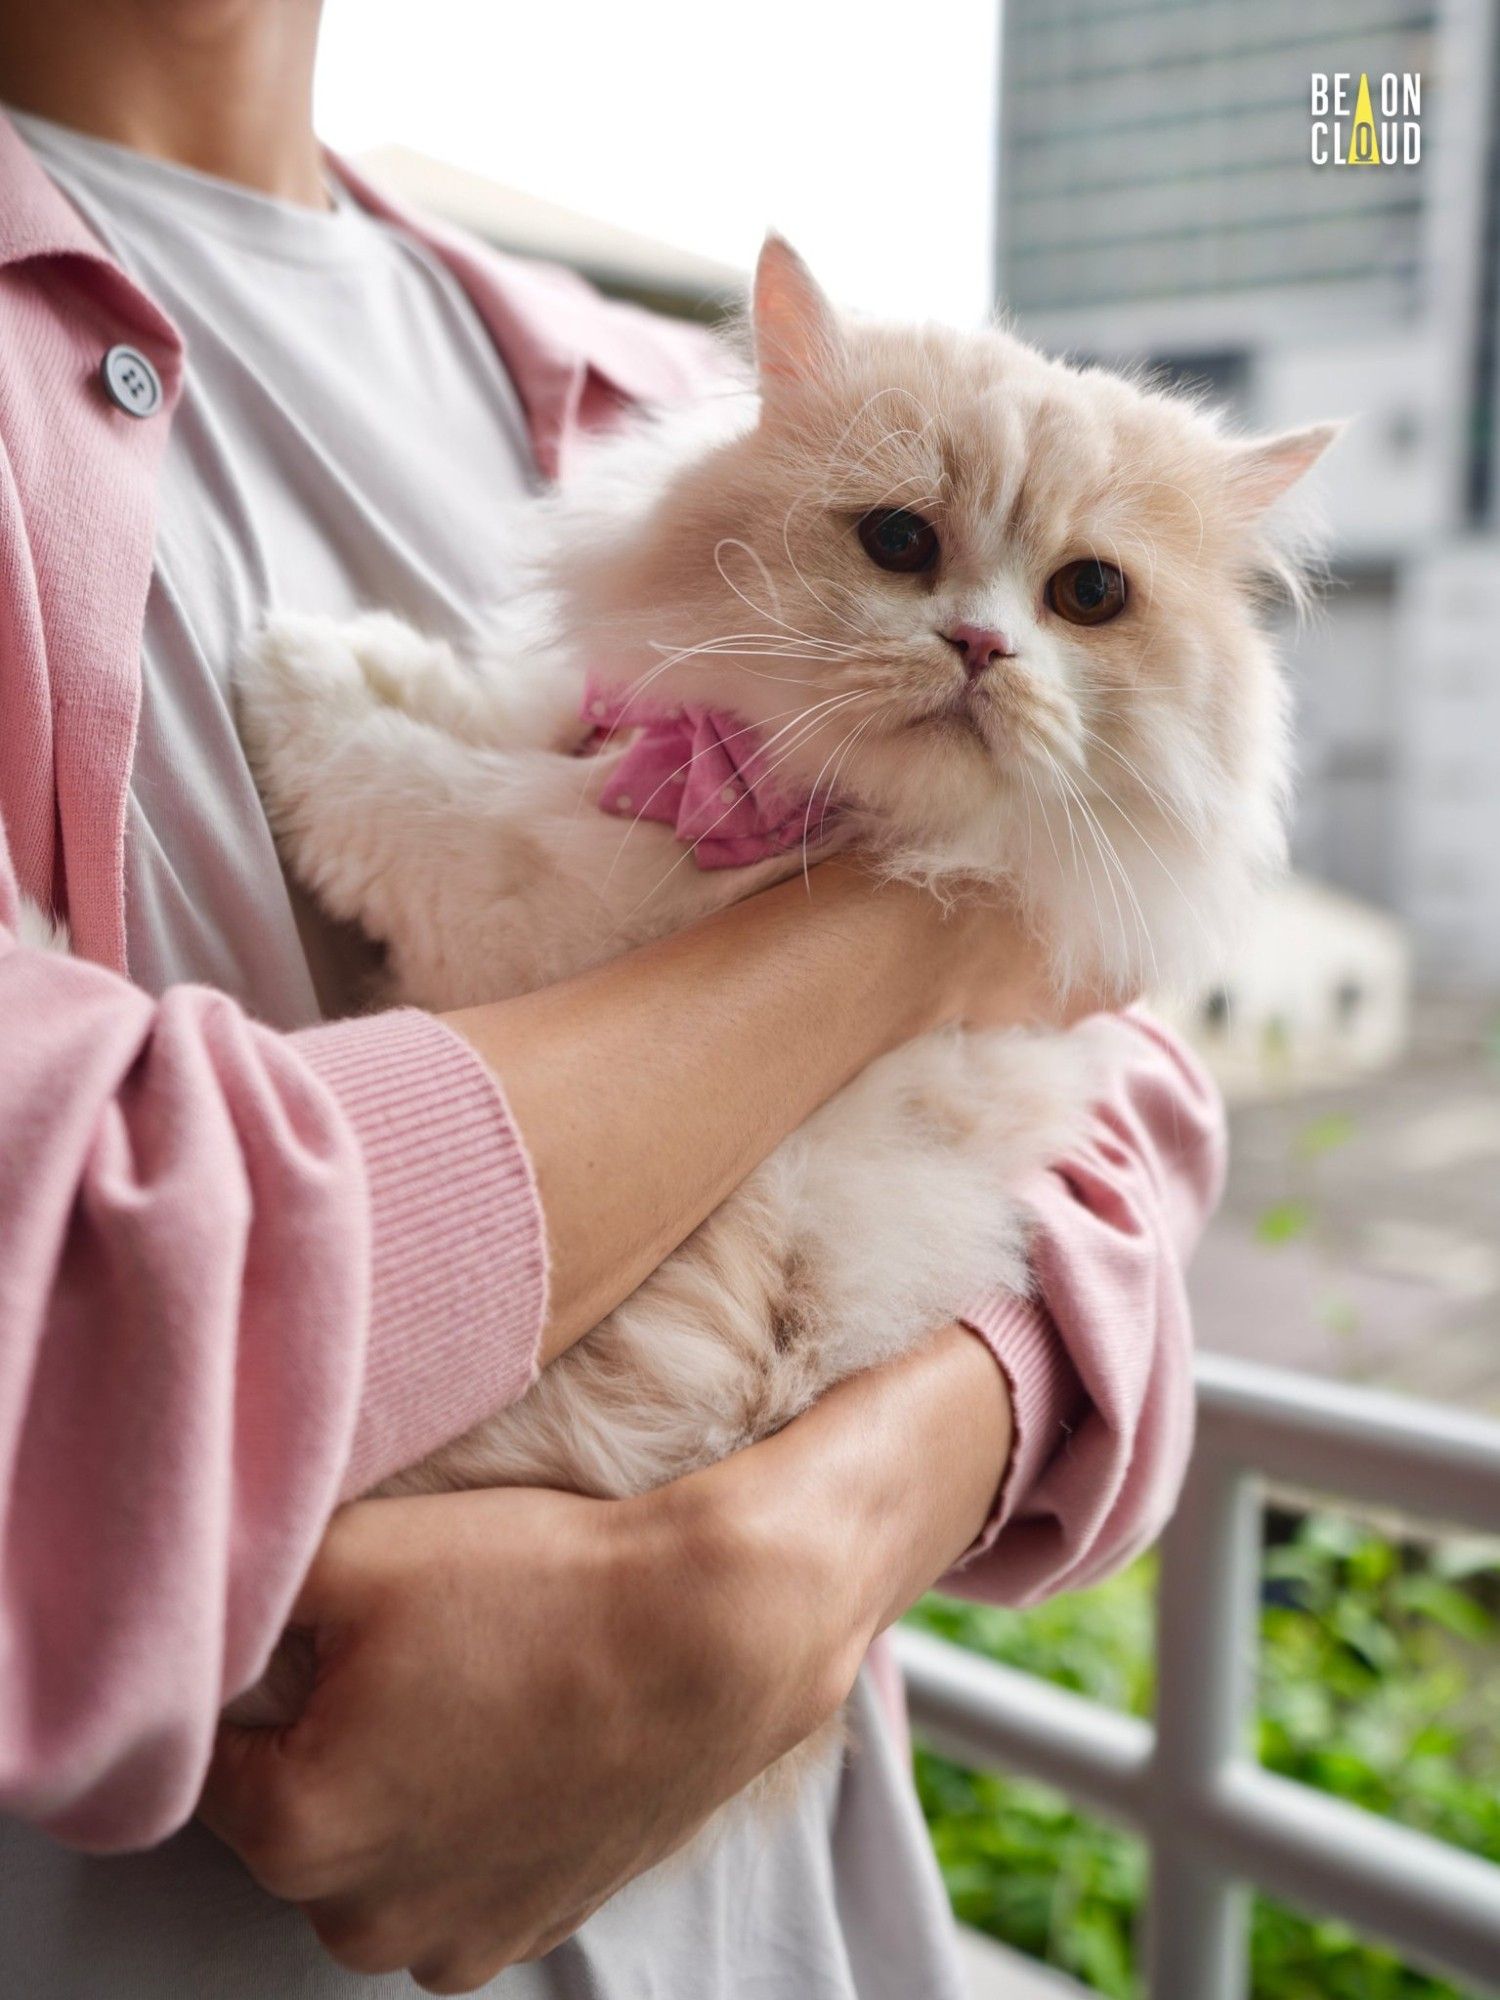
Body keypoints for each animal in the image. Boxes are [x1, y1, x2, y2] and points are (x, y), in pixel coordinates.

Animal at [238, 234, 1336, 1512]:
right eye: (900, 541)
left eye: (1089, 594)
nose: (981, 645)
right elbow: (503, 712)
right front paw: (373, 649)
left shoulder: (533, 908)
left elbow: (413, 785)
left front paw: (286, 665)